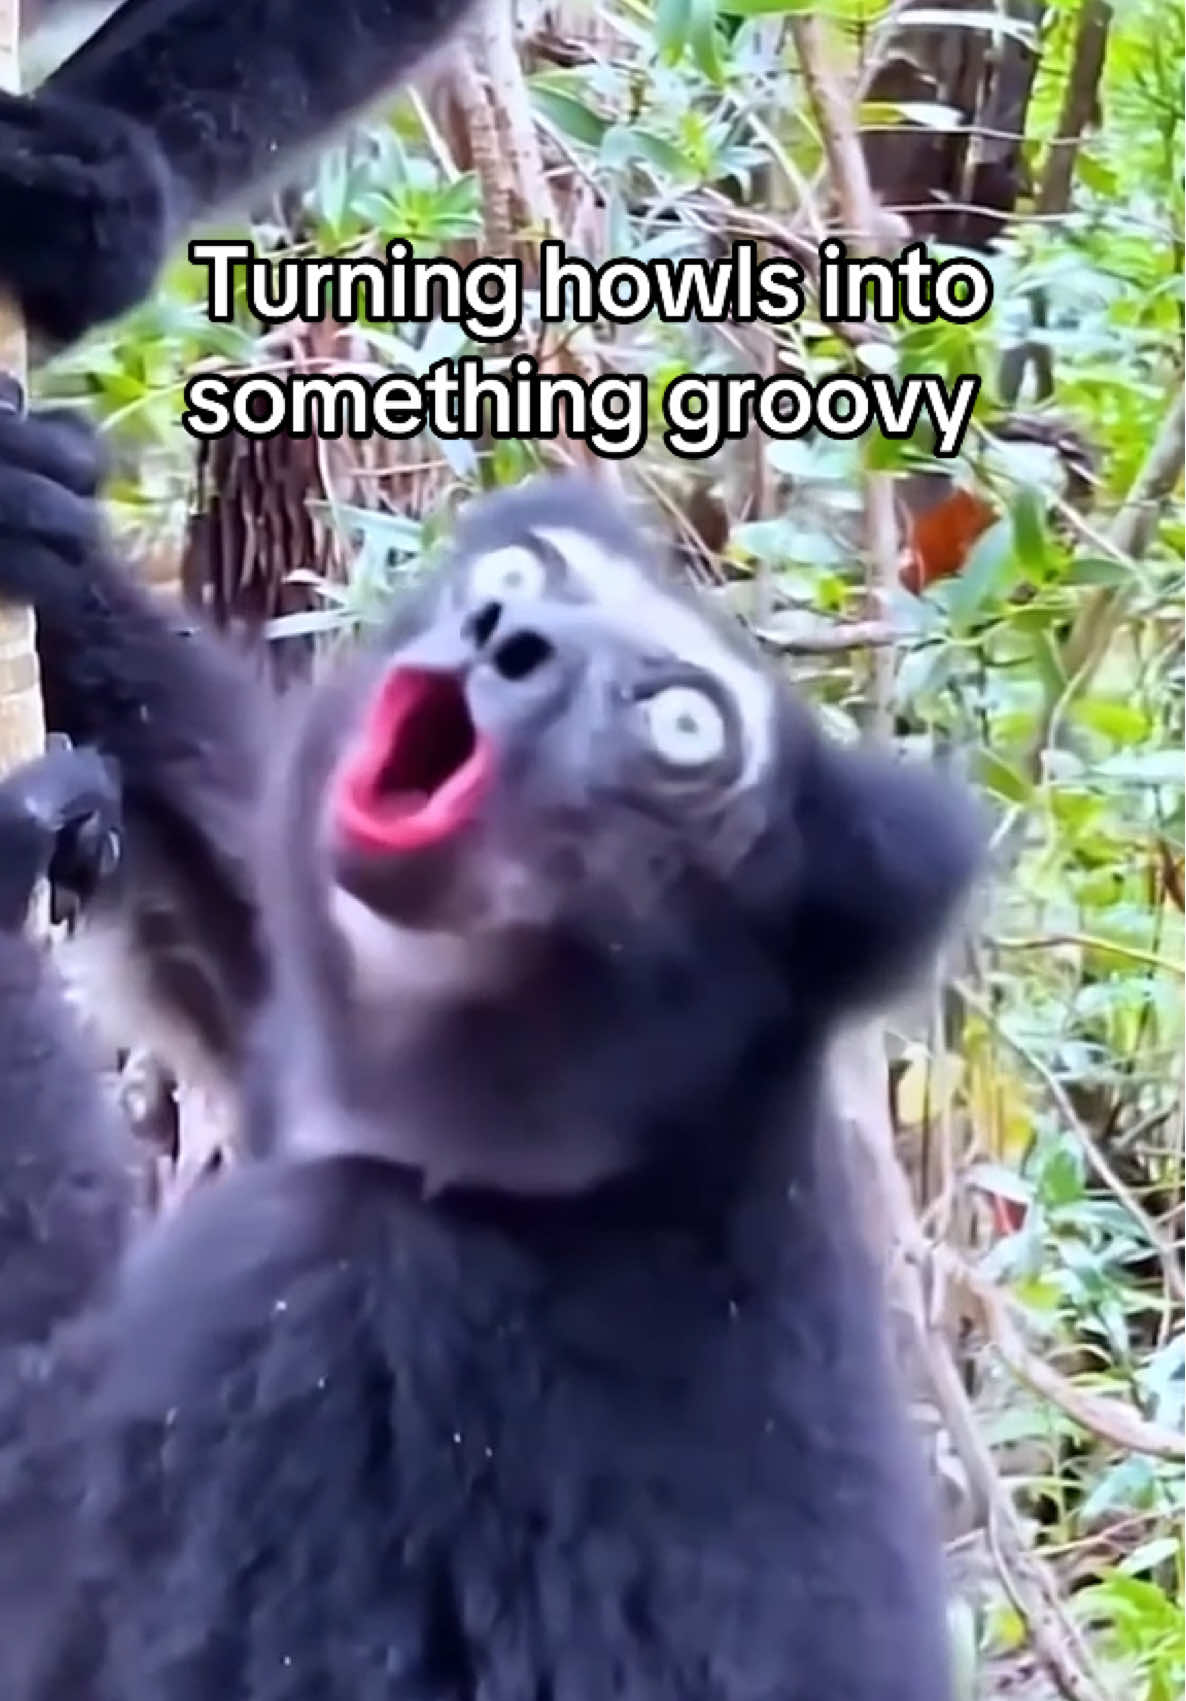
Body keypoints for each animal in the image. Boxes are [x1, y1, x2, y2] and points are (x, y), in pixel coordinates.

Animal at [0, 403, 983, 1700]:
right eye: (521, 577)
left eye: (683, 730)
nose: (504, 637)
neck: (609, 1176)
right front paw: (37, 514)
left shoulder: (325, 1314)